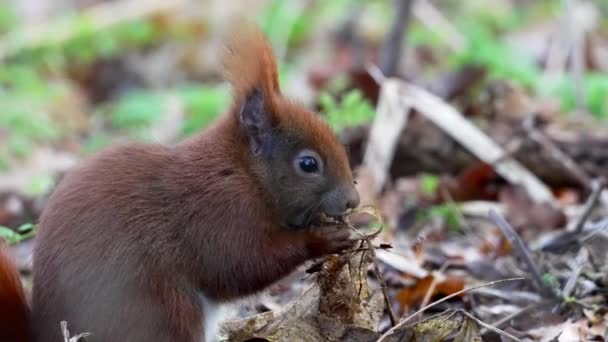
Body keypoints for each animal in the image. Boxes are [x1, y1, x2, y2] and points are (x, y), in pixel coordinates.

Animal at [0, 22, 358, 340]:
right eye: (308, 164)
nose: (352, 201)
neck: (243, 173)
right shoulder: (217, 211)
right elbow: (240, 265)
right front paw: (323, 238)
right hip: (165, 308)